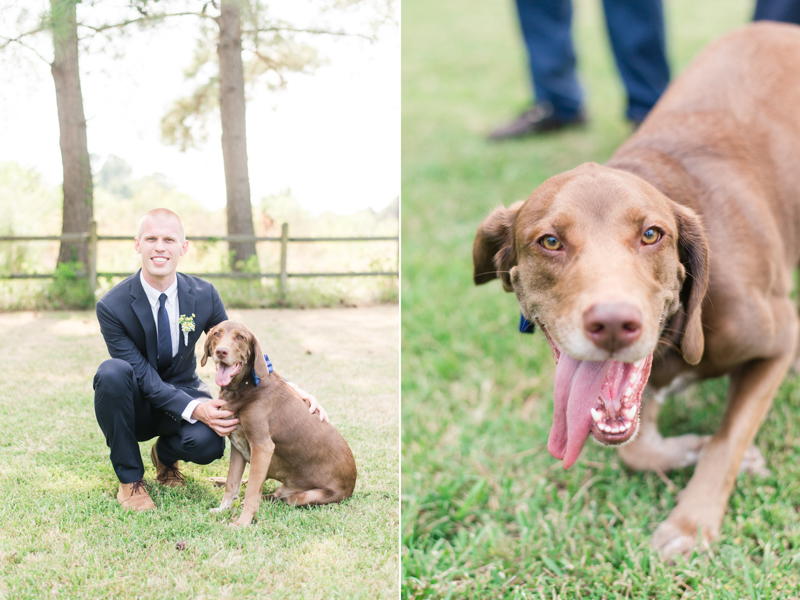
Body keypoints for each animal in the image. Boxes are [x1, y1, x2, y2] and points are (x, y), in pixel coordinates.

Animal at [202, 318, 358, 524]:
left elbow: (251, 492)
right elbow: (232, 483)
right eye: (216, 334)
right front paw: (222, 509)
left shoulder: (262, 446)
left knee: (281, 497)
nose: (221, 351)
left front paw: (242, 523)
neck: (244, 388)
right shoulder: (237, 444)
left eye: (240, 337)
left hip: (306, 495)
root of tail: (352, 485)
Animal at [476, 22, 800, 556]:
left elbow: (727, 440)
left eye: (652, 234)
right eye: (550, 241)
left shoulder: (780, 338)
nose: (612, 323)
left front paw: (691, 522)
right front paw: (688, 447)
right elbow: (639, 450)